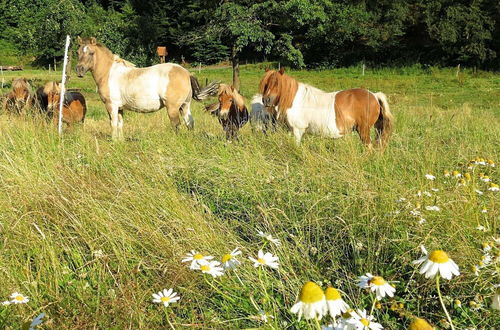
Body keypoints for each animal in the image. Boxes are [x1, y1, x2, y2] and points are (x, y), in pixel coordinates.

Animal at [75, 36, 219, 140]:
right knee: (190, 122)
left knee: (176, 125)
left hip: (172, 108)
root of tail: (187, 72)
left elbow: (113, 123)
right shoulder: (120, 108)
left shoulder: (111, 105)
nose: (79, 70)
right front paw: (120, 141)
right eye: (77, 52)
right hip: (185, 105)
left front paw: (114, 141)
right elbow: (120, 124)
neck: (110, 73)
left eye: (91, 53)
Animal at [258, 67, 394, 147]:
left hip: (363, 130)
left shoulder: (298, 130)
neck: (295, 100)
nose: (266, 100)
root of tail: (375, 95)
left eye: (277, 83)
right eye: (265, 83)